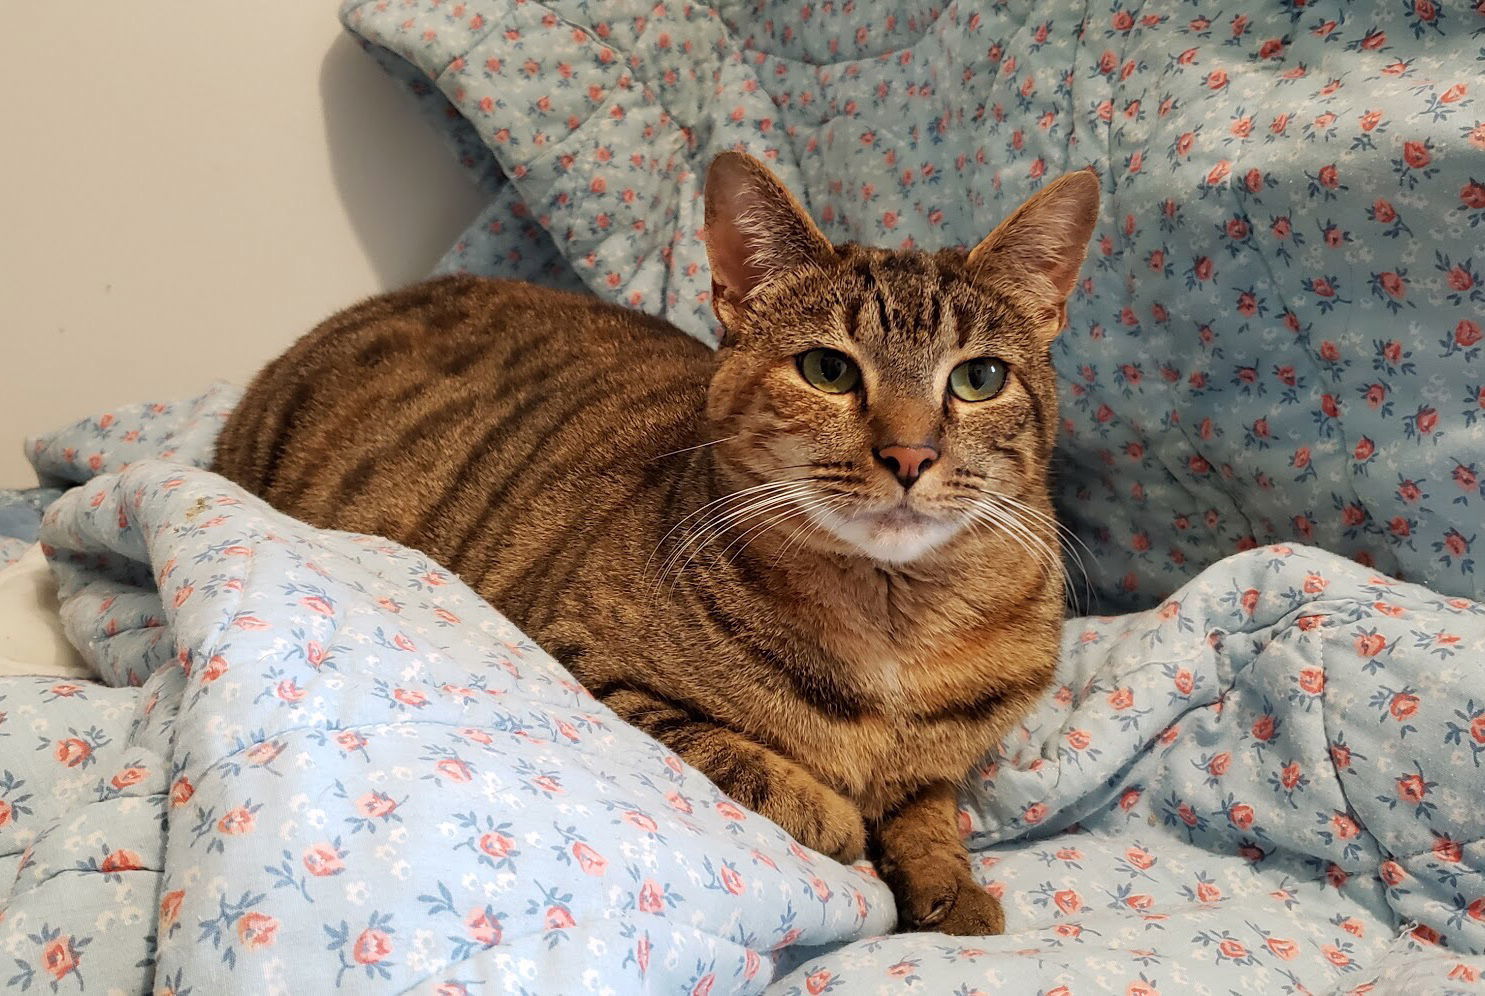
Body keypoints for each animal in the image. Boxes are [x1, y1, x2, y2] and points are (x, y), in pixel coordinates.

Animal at [215, 152, 1098, 938]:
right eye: (827, 369)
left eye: (978, 379)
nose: (910, 455)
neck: (892, 626)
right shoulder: (586, 662)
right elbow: (742, 756)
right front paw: (835, 817)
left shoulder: (938, 766)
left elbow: (929, 814)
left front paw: (952, 886)